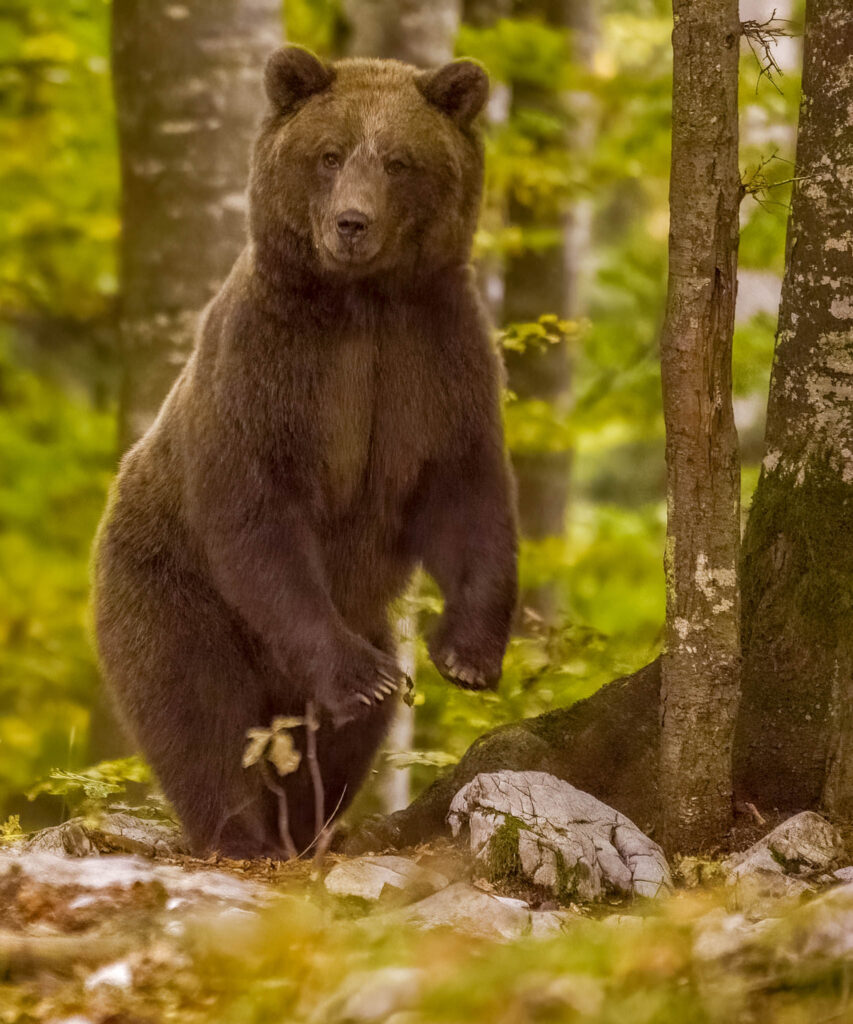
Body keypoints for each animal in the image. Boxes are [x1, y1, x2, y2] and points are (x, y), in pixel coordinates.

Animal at [94, 46, 520, 856]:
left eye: (397, 159)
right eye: (328, 153)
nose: (352, 223)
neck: (362, 303)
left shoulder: (437, 361)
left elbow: (466, 494)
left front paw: (468, 653)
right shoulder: (269, 371)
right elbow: (259, 520)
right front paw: (361, 677)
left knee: (340, 746)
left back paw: (307, 824)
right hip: (167, 584)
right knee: (196, 711)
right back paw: (243, 833)